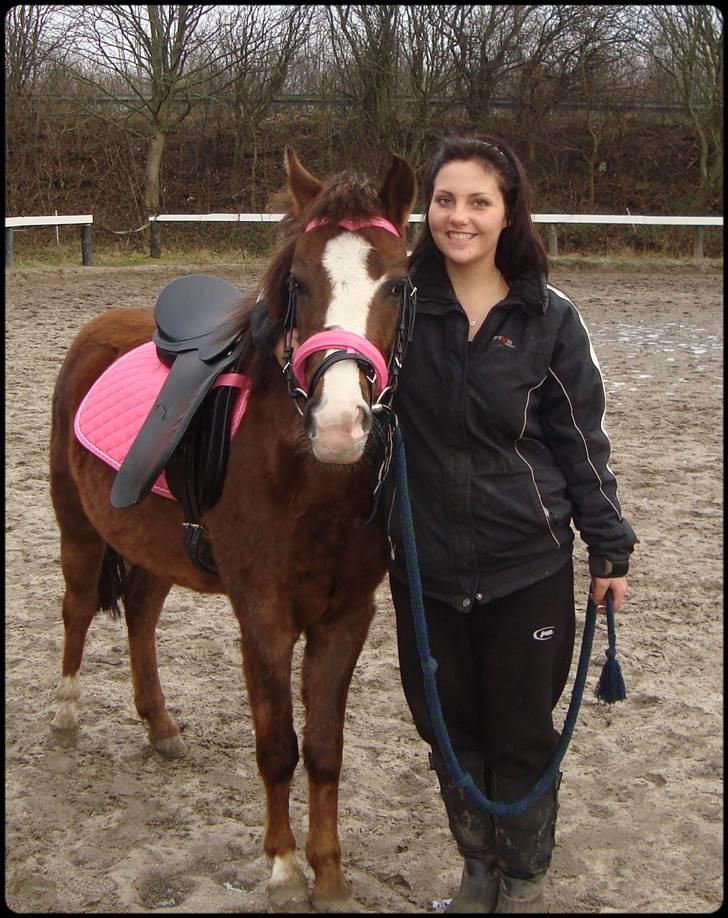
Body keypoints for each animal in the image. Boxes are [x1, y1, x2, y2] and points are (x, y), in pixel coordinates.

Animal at [48, 146, 416, 911]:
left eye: (398, 284)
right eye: (298, 282)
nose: (339, 426)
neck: (309, 482)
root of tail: (100, 328)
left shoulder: (347, 616)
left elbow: (325, 747)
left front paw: (330, 874)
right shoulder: (264, 616)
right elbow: (277, 744)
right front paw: (282, 868)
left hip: (154, 548)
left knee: (139, 615)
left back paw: (160, 726)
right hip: (78, 527)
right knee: (77, 608)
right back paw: (65, 712)